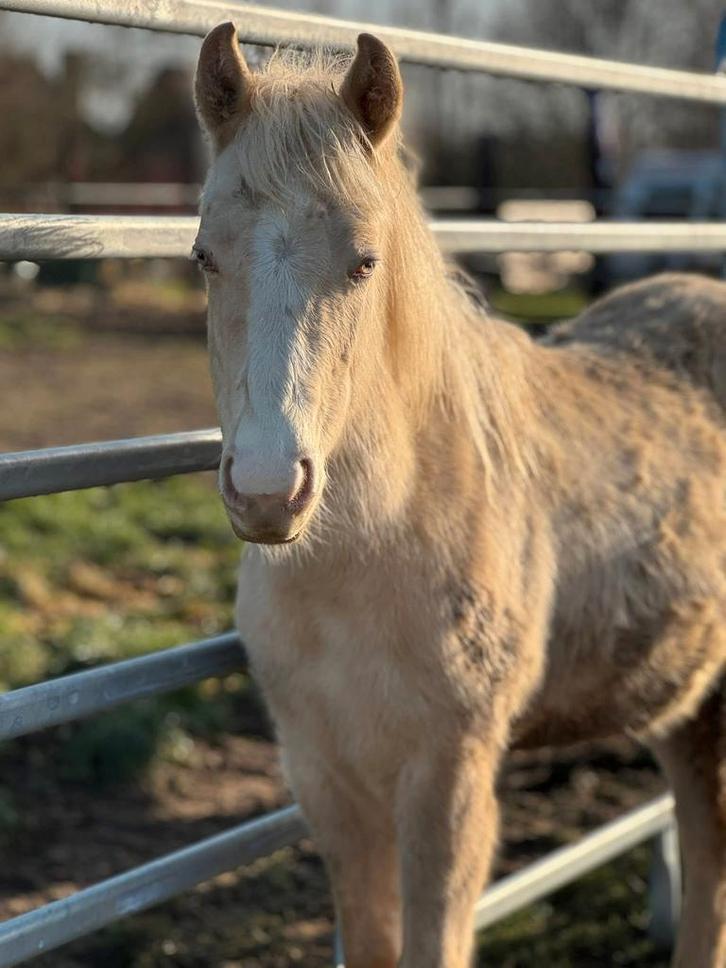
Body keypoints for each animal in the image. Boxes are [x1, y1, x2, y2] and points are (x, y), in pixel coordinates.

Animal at [193, 23, 726, 967]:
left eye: (365, 262)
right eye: (204, 257)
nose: (266, 492)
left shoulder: (447, 781)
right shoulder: (327, 779)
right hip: (687, 700)